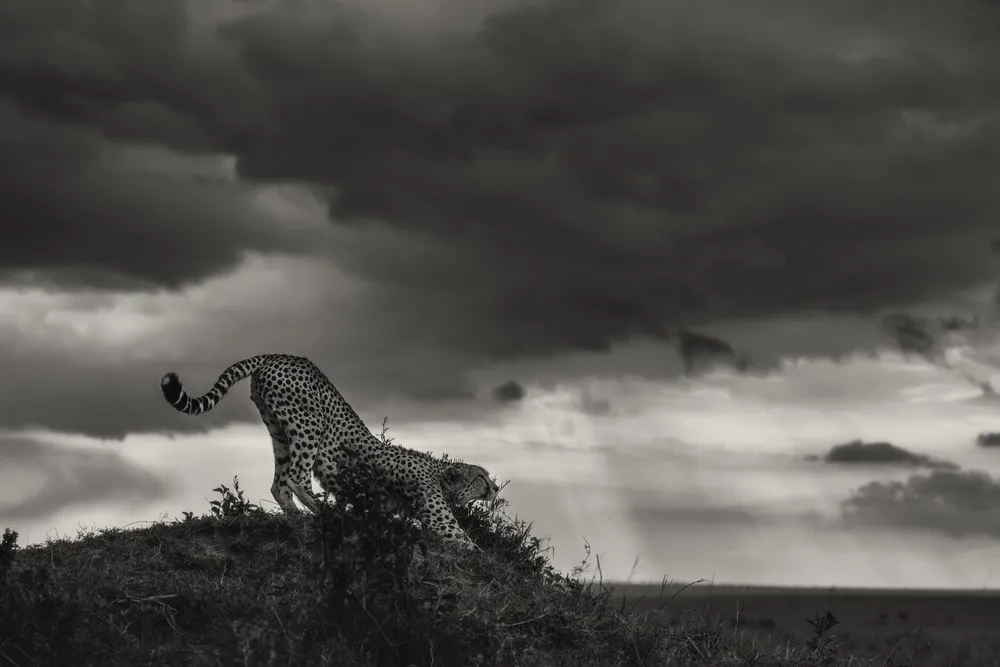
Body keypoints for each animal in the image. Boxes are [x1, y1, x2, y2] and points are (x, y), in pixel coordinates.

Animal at [159, 353, 499, 550]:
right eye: (481, 477)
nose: (495, 487)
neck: (437, 472)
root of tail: (278, 354)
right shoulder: (435, 511)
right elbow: (463, 541)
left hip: (279, 431)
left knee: (279, 482)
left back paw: (296, 517)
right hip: (309, 424)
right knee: (297, 477)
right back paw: (324, 513)